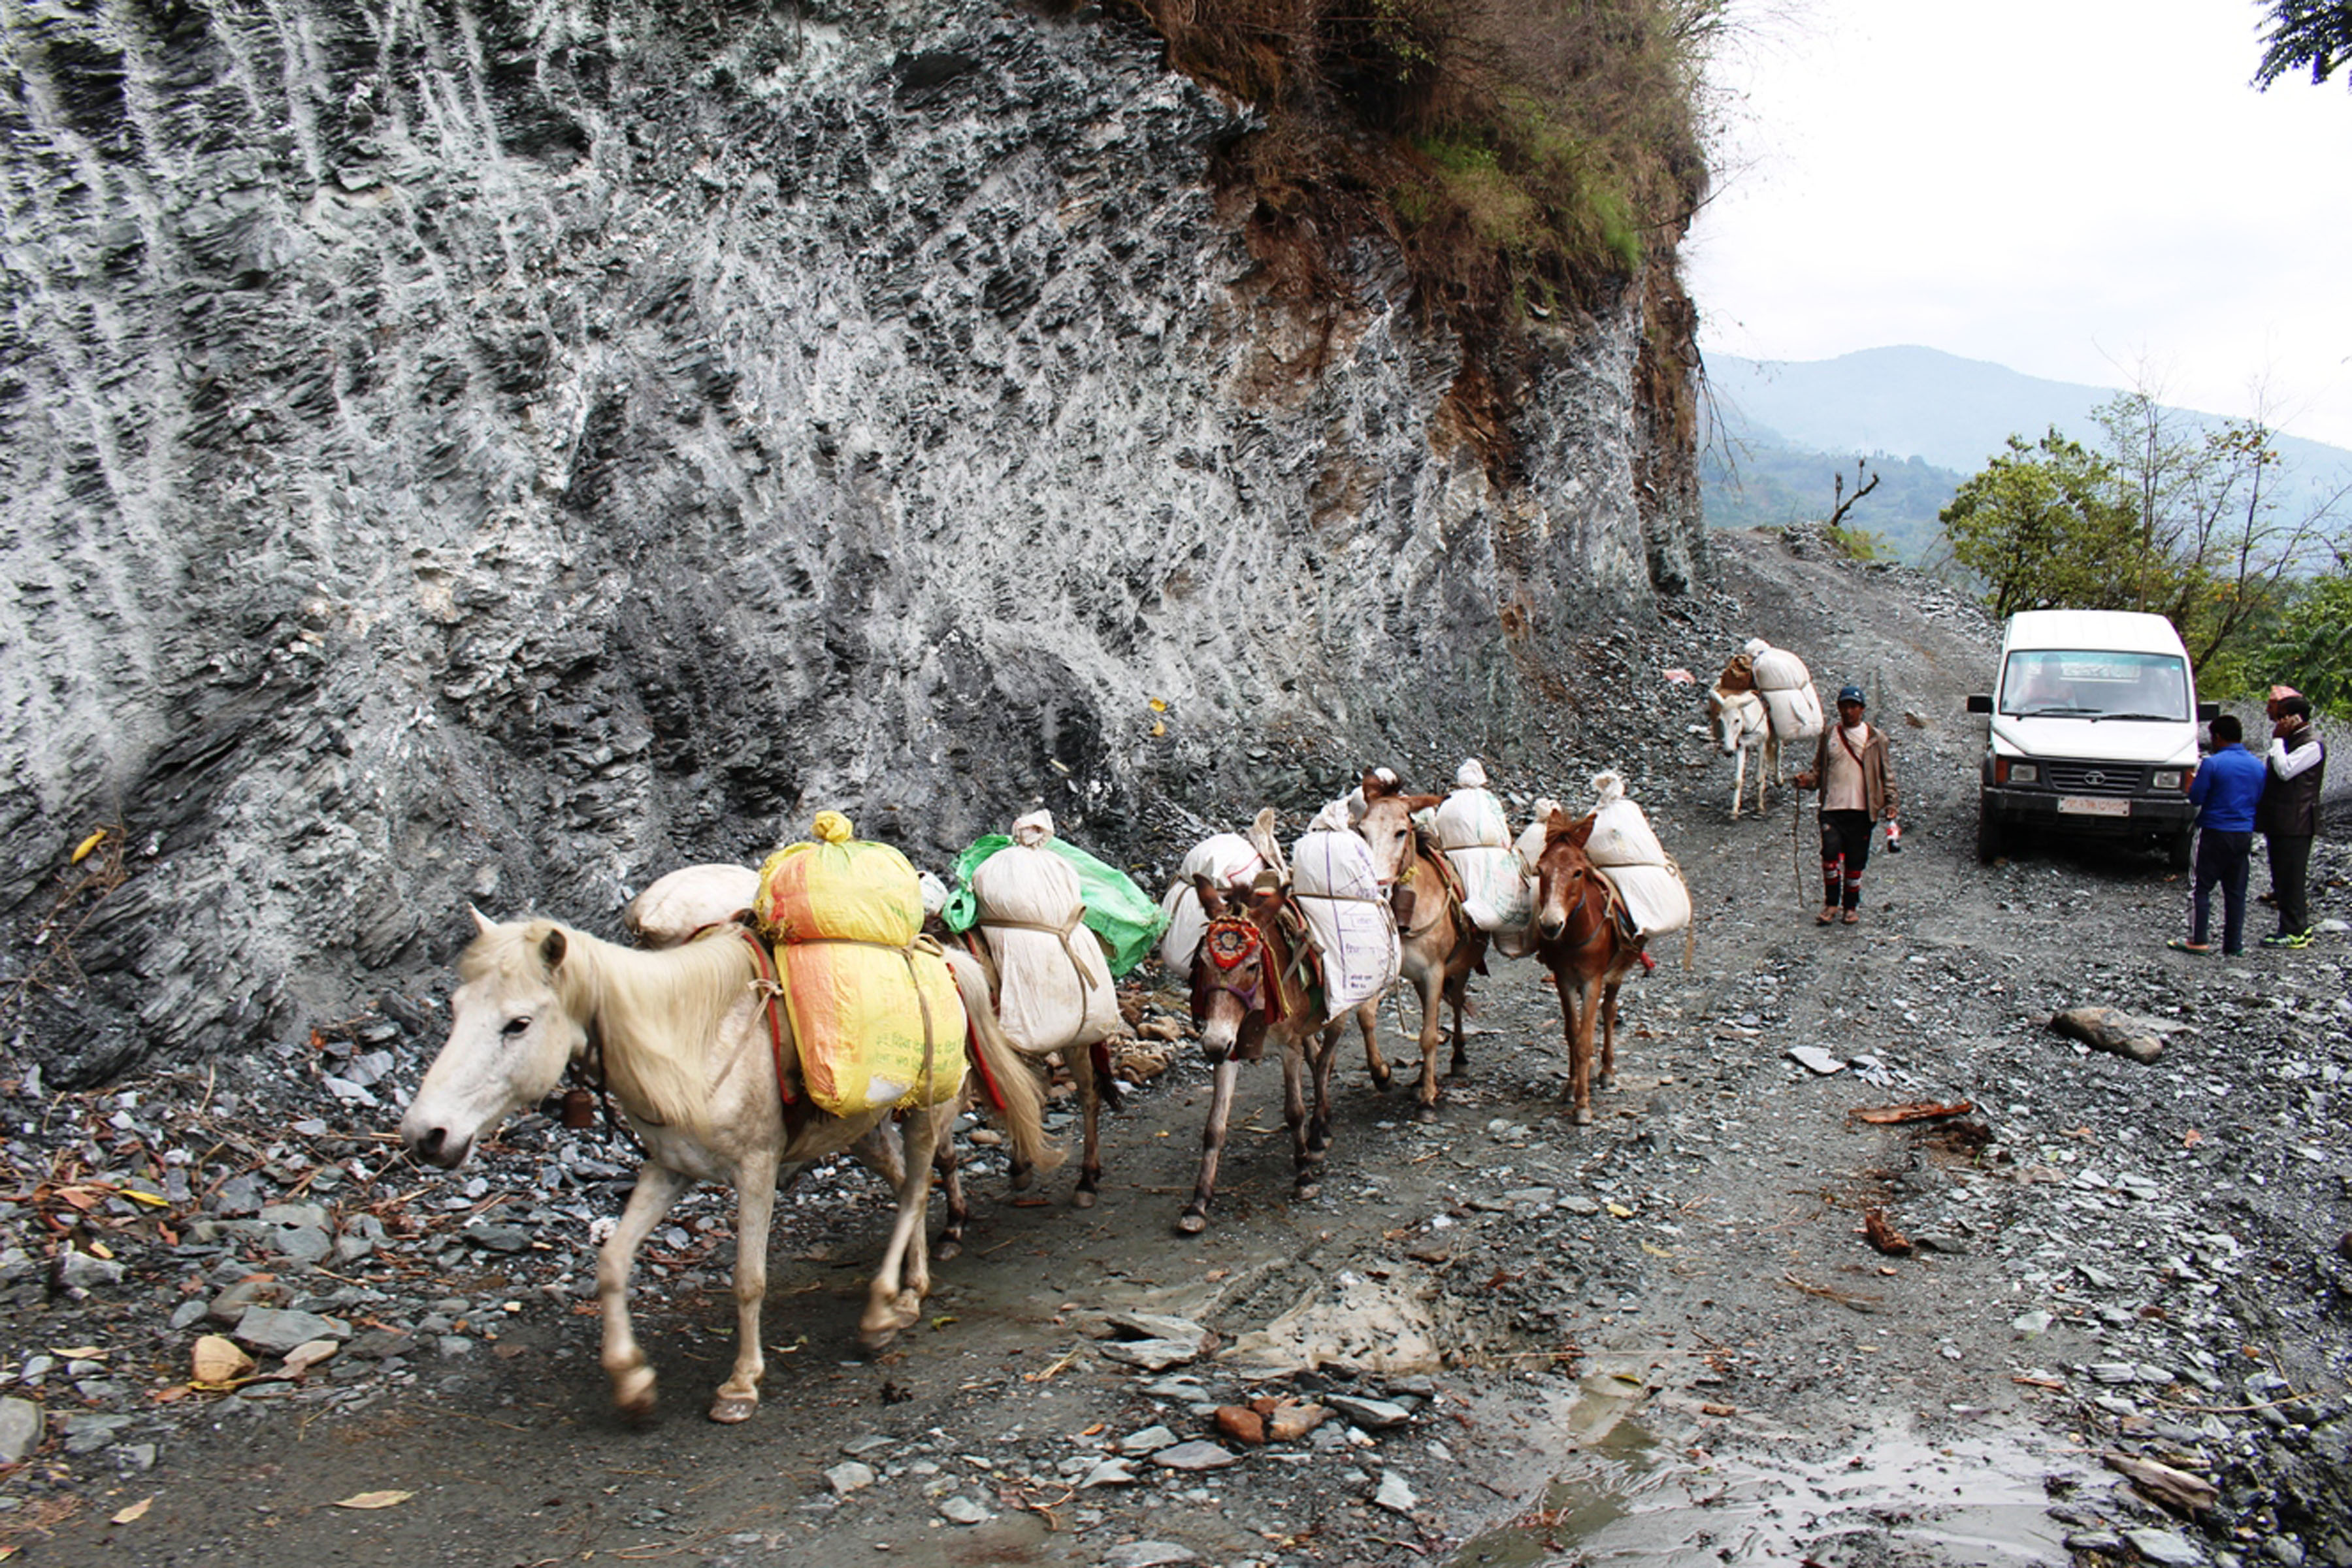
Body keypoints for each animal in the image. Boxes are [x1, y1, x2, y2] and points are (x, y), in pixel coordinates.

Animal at [404, 912, 1058, 1429]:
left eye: (517, 1023)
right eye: (456, 1009)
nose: (425, 1136)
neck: (691, 1042)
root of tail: (945, 959)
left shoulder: (756, 1168)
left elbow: (748, 1279)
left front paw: (741, 1385)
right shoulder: (670, 1169)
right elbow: (612, 1263)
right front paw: (632, 1382)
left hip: (924, 1112)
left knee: (918, 1187)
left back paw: (881, 1312)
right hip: (863, 1130)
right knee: (907, 1189)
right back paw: (910, 1292)